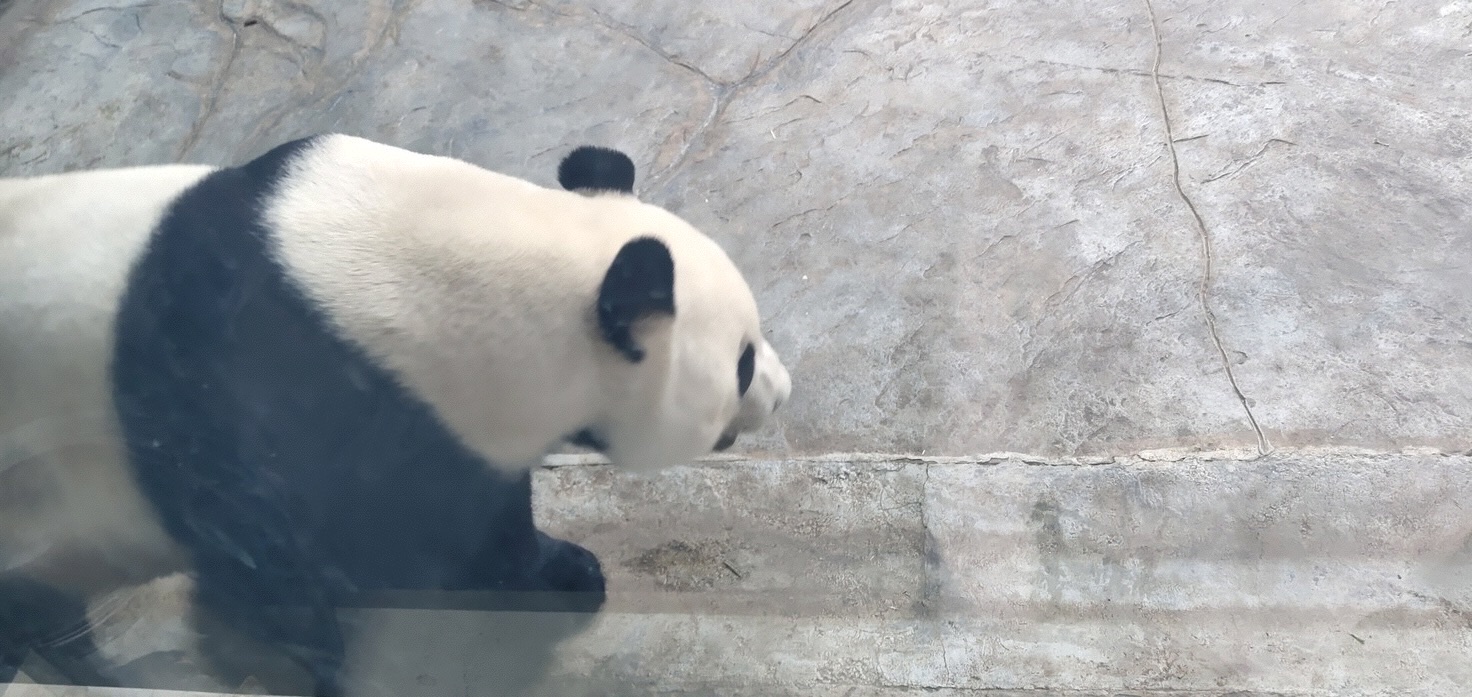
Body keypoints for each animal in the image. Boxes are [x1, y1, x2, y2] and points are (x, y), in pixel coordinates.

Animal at [0, 133, 794, 694]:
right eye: (741, 362)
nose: (782, 391)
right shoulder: (267, 407)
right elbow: (278, 569)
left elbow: (478, 515)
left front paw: (564, 573)